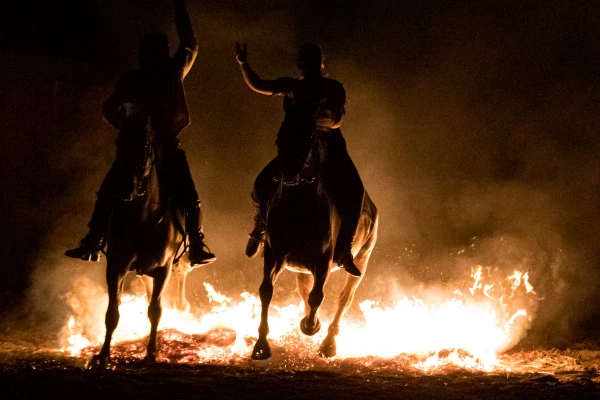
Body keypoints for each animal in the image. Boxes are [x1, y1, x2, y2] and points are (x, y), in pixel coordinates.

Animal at [86, 125, 189, 368]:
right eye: (119, 143)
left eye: (145, 146)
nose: (125, 188)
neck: (142, 218)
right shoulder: (116, 266)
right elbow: (112, 313)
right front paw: (103, 355)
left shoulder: (164, 269)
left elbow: (155, 311)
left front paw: (151, 353)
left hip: (179, 263)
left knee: (181, 277)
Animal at [251, 132, 378, 360]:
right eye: (279, 139)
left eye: (309, 141)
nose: (289, 173)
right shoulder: (274, 257)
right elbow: (266, 291)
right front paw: (262, 344)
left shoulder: (323, 262)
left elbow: (317, 296)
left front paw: (311, 326)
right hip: (301, 270)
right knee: (304, 291)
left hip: (362, 260)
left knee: (344, 298)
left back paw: (328, 344)